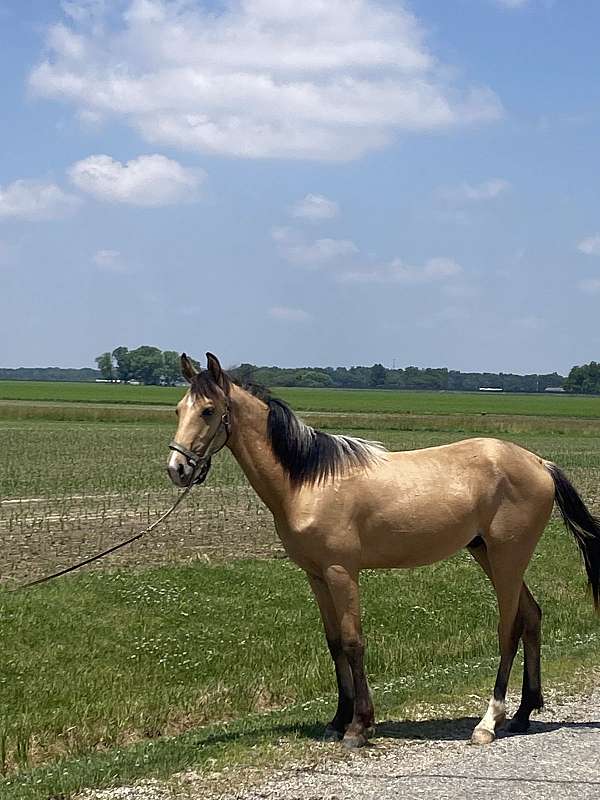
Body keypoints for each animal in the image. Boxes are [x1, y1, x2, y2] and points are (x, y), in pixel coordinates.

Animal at [167, 352, 600, 749]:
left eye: (208, 410)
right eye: (178, 409)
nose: (177, 469)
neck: (309, 481)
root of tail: (539, 463)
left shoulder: (342, 572)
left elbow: (353, 642)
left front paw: (359, 727)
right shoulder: (316, 576)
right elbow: (334, 644)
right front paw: (338, 720)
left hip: (507, 557)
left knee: (508, 629)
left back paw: (488, 722)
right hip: (489, 556)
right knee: (531, 617)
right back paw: (524, 714)